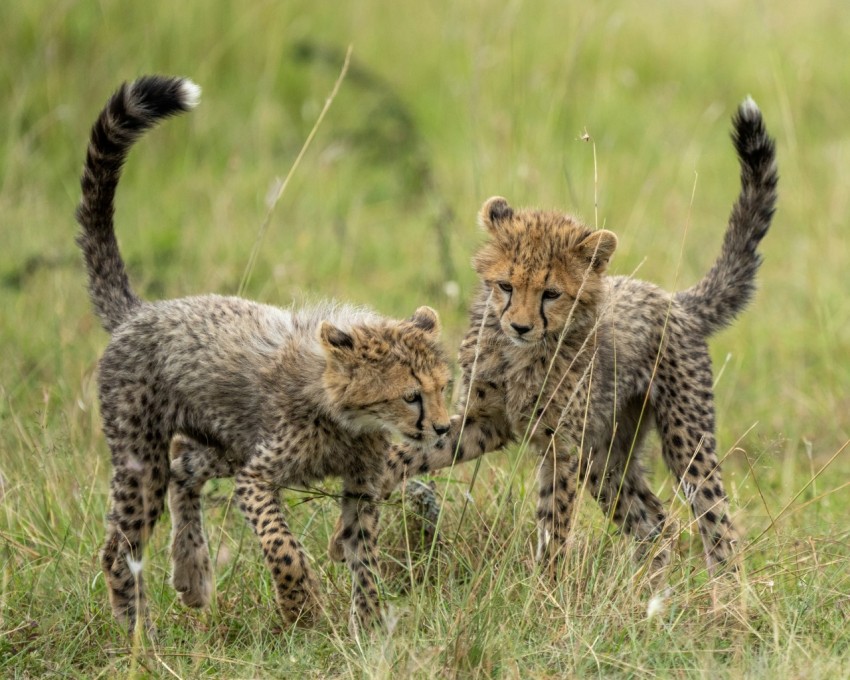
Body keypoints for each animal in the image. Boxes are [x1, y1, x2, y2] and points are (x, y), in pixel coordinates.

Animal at [75, 75, 452, 634]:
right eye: (410, 395)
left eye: (443, 388)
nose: (445, 427)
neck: (345, 416)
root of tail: (142, 312)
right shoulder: (257, 477)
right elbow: (283, 546)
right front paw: (302, 609)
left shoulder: (360, 483)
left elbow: (363, 551)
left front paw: (367, 622)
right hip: (141, 456)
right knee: (120, 542)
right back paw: (137, 628)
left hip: (225, 441)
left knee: (184, 466)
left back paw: (191, 572)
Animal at [332, 97, 778, 577]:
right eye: (506, 285)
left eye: (551, 293)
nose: (520, 326)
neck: (517, 354)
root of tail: (674, 299)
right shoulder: (486, 422)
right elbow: (411, 452)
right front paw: (347, 528)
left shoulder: (559, 444)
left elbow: (555, 518)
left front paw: (548, 581)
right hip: (605, 454)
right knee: (654, 519)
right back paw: (654, 581)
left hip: (682, 435)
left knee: (714, 518)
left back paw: (724, 588)